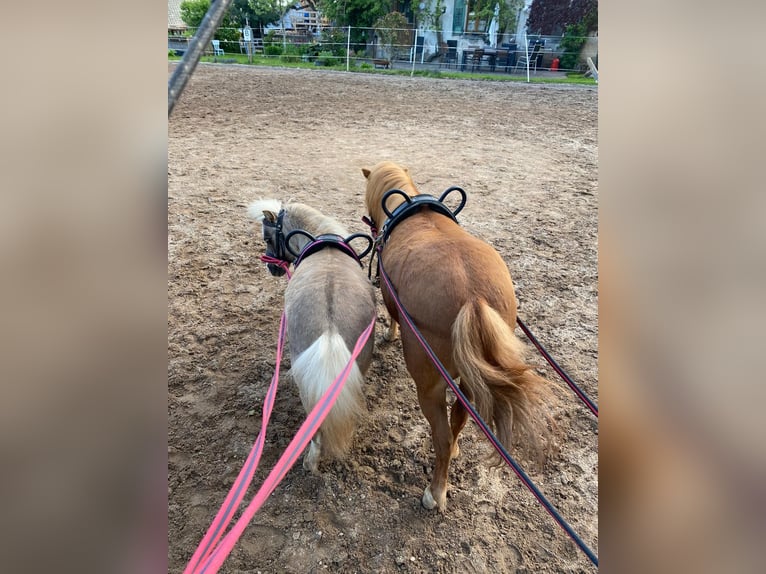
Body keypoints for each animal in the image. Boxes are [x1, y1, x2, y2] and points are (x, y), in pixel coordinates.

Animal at [364, 162, 560, 512]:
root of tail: (473, 298)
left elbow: (392, 319)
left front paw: (390, 334)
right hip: (470, 381)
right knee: (458, 421)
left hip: (430, 382)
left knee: (441, 435)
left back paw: (436, 491)